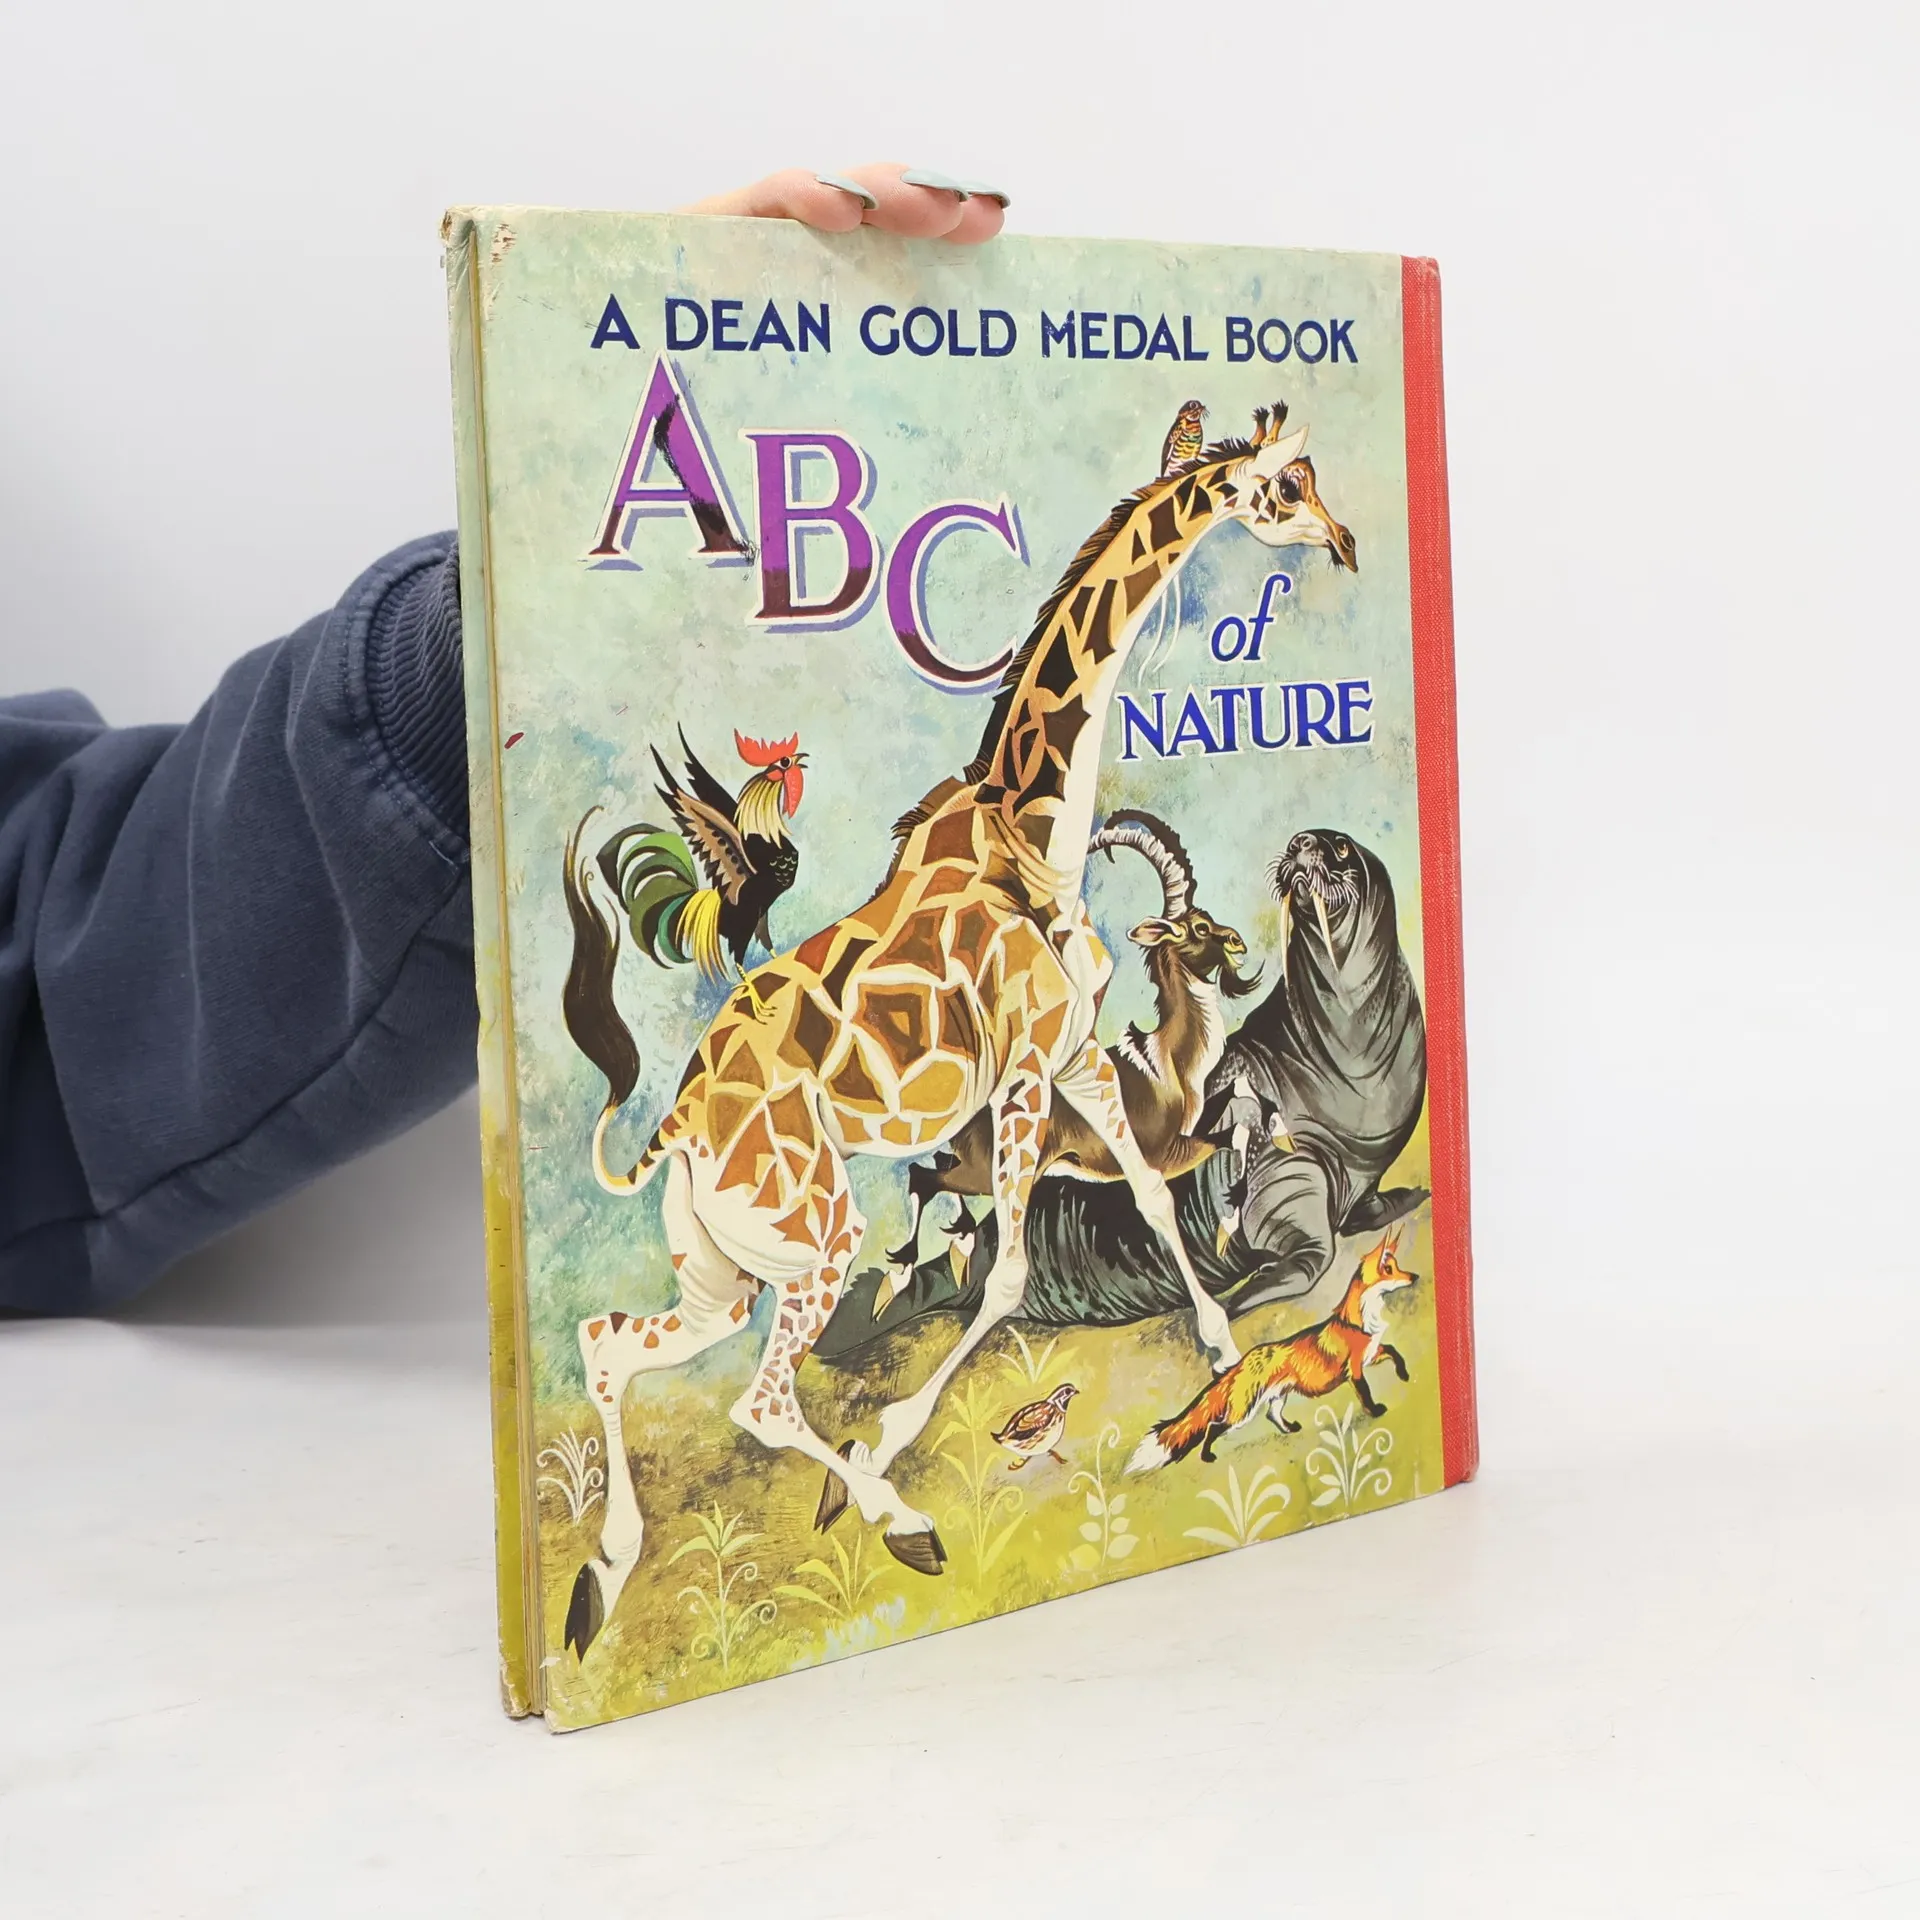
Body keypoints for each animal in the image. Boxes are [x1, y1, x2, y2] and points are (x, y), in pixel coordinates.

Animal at [881, 809, 1262, 1279]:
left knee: (934, 1170)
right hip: (986, 1174)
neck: (1167, 1061)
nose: (1237, 941)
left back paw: (959, 1238)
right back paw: (910, 1257)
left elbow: (1244, 1097)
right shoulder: (1167, 1153)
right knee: (923, 1177)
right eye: (1198, 927)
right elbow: (1233, 1133)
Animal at [1126, 1228, 1418, 1474]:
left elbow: (1395, 1352)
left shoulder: (1372, 1353)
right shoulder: (1355, 1368)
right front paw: (1377, 1411)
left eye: (1397, 1267)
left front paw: (1404, 1375)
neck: (1360, 1322)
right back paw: (1207, 1456)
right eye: (1388, 1269)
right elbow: (1366, 1393)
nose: (1414, 1276)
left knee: (1272, 1415)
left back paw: (1290, 1429)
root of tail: (1242, 1362)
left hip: (1278, 1397)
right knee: (1213, 1426)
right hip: (1242, 1412)